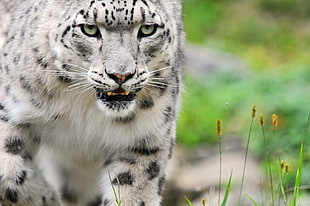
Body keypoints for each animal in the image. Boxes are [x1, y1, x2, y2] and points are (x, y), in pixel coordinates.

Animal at [0, 0, 184, 205]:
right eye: (89, 29)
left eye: (147, 29)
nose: (121, 75)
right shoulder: (12, 110)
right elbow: (8, 174)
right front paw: (49, 198)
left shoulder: (145, 139)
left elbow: (132, 193)